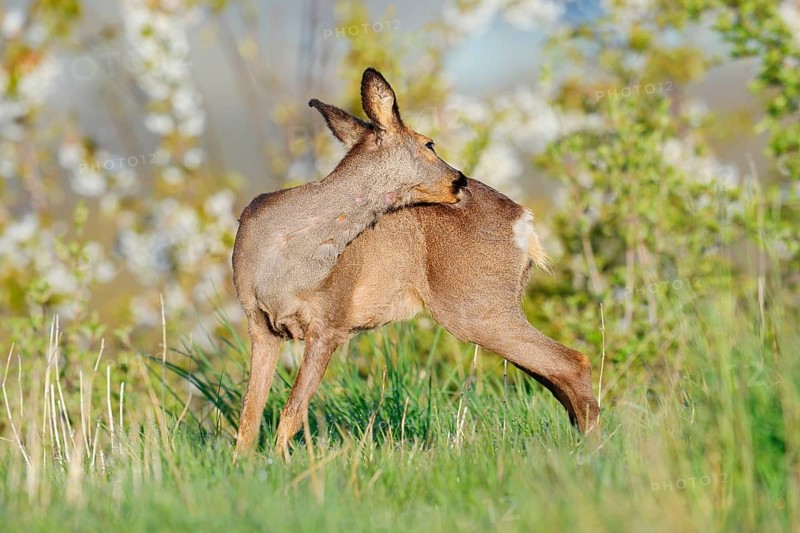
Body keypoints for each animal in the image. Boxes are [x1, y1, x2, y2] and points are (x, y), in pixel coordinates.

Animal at [232, 68, 600, 459]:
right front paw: (244, 464)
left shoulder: (331, 320)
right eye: (430, 144)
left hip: (477, 305)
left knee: (573, 362)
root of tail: (524, 221)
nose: (460, 180)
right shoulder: (260, 324)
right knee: (558, 373)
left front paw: (278, 464)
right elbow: (249, 416)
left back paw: (593, 451)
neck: (286, 256)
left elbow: (291, 410)